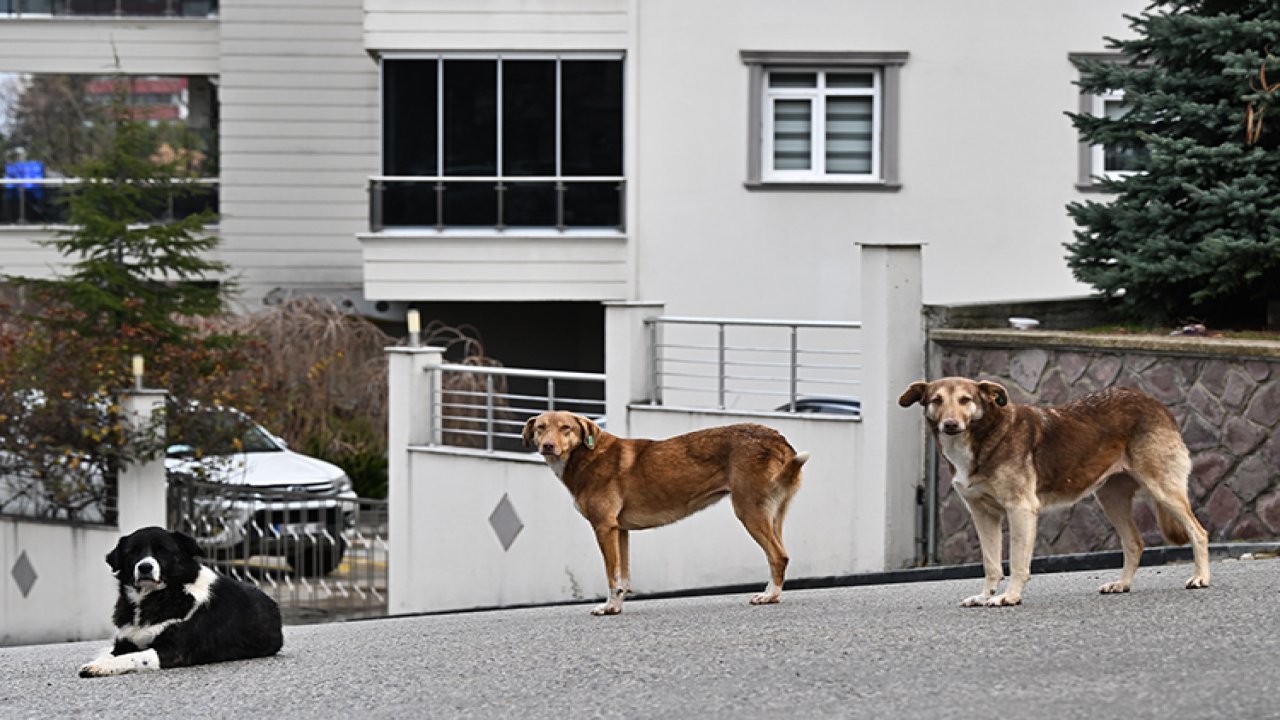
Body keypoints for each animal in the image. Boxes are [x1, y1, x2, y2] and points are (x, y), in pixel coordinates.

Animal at [79, 525, 282, 676]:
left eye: (163, 551)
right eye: (133, 552)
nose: (145, 567)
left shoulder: (173, 650)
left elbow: (135, 657)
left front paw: (102, 667)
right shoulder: (124, 642)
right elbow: (113, 654)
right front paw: (98, 662)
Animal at [522, 412, 803, 614]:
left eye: (565, 428)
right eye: (541, 427)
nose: (548, 446)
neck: (585, 457)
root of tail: (777, 437)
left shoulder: (604, 527)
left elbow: (612, 575)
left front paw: (608, 606)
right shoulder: (620, 531)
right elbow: (623, 578)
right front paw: (616, 607)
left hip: (748, 510)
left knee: (778, 556)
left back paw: (769, 595)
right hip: (772, 515)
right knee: (781, 554)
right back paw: (773, 594)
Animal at [901, 376, 1208, 604]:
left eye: (966, 400)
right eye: (936, 400)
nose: (951, 425)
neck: (984, 436)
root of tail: (1154, 402)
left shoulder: (1020, 509)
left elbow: (1016, 562)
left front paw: (1009, 597)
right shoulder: (983, 515)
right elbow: (991, 564)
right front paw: (985, 596)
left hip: (1163, 490)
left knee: (1198, 532)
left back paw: (1201, 578)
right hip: (1110, 499)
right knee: (1135, 542)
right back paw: (1122, 584)